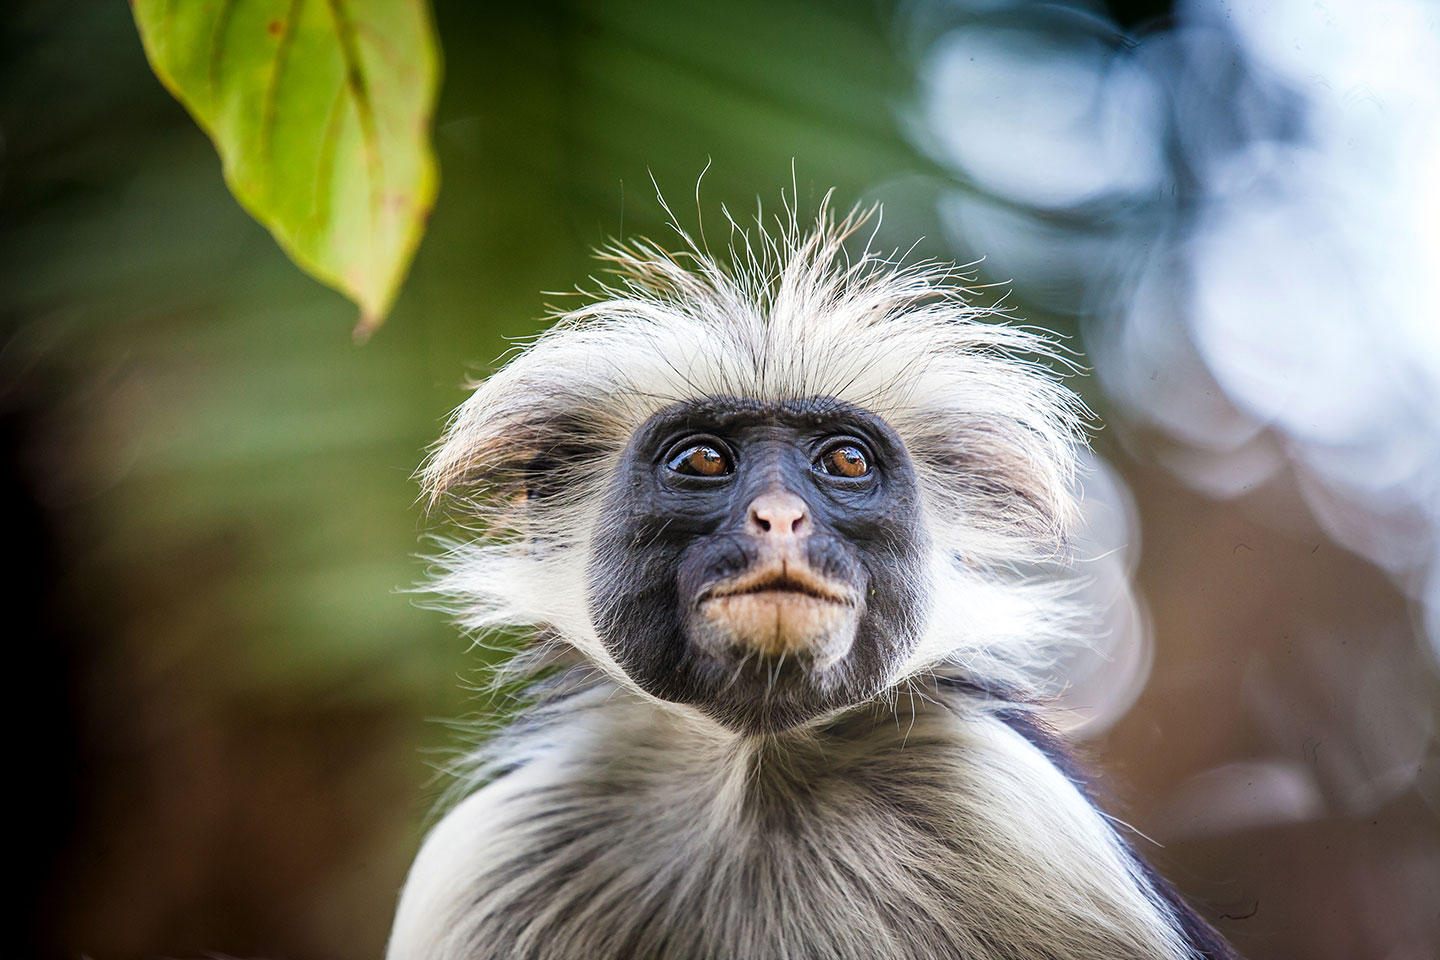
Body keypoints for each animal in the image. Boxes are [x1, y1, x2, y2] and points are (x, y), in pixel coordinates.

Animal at [385, 197, 1242, 960]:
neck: (756, 778)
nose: (780, 519)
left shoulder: (1026, 822)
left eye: (846, 462)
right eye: (704, 460)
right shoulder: (493, 852)